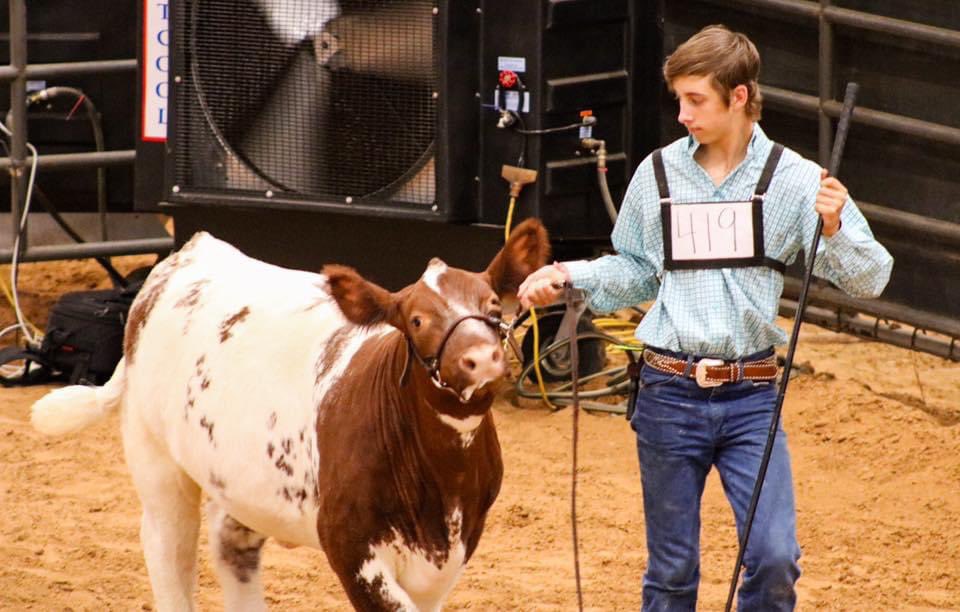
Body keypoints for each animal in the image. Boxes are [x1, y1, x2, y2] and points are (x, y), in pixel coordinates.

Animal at [31, 220, 548, 612]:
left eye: (493, 307)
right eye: (417, 320)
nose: (482, 358)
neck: (442, 489)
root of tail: (185, 256)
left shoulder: (451, 553)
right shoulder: (350, 545)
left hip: (244, 480)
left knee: (230, 544)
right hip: (155, 458)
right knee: (167, 551)